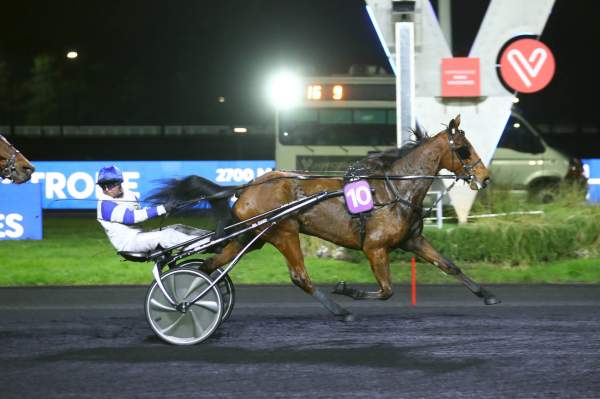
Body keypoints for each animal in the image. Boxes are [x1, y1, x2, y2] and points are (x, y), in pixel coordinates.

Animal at [152, 116, 500, 322]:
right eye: (465, 149)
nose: (485, 178)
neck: (394, 190)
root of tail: (247, 186)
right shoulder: (375, 248)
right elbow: (387, 290)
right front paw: (347, 290)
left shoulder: (412, 240)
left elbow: (449, 266)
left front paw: (488, 295)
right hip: (283, 231)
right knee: (299, 277)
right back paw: (341, 311)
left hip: (252, 237)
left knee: (211, 266)